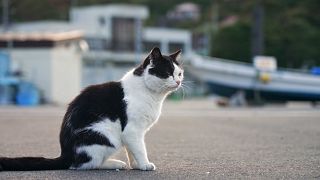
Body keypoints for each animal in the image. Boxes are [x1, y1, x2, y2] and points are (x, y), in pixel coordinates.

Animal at [0, 47, 184, 171]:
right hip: (107, 135)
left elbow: (132, 150)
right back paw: (114, 164)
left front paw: (136, 165)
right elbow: (139, 149)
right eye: (167, 73)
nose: (178, 82)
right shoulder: (132, 130)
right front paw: (145, 164)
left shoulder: (134, 134)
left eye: (179, 73)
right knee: (85, 164)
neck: (151, 94)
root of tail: (65, 154)